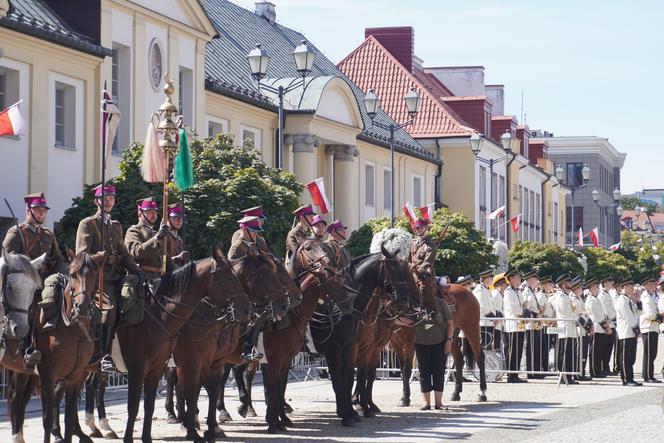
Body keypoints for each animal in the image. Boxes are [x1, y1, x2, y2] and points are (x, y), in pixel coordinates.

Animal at [2, 251, 104, 443]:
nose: (82, 306)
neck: (73, 330)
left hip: (27, 373)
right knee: (15, 399)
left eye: (94, 275)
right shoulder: (48, 375)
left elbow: (69, 416)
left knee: (19, 401)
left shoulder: (74, 376)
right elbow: (47, 417)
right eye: (73, 274)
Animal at [116, 250, 246, 443]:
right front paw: (195, 430)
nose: (246, 309)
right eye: (229, 277)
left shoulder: (193, 363)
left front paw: (206, 429)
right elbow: (189, 394)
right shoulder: (140, 367)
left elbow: (153, 403)